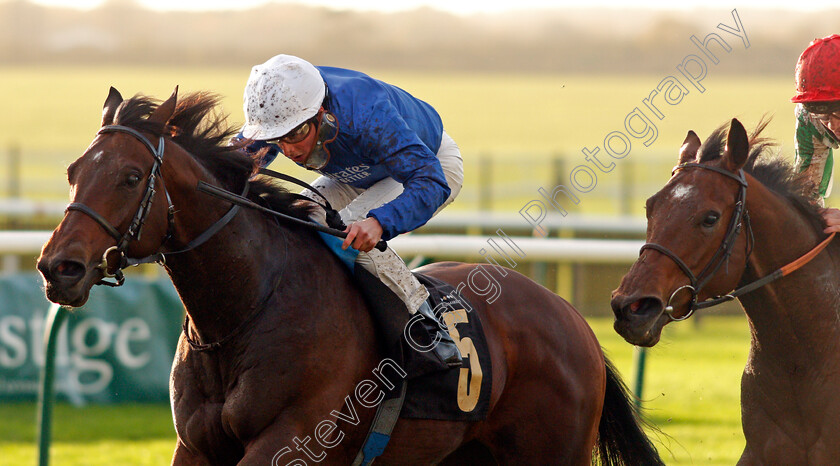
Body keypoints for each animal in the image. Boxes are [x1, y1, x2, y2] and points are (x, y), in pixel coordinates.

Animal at [37, 87, 664, 466]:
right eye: (72, 171)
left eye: (130, 175)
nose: (58, 266)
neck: (242, 315)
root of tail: (571, 319)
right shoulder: (195, 448)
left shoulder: (290, 443)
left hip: (551, 450)